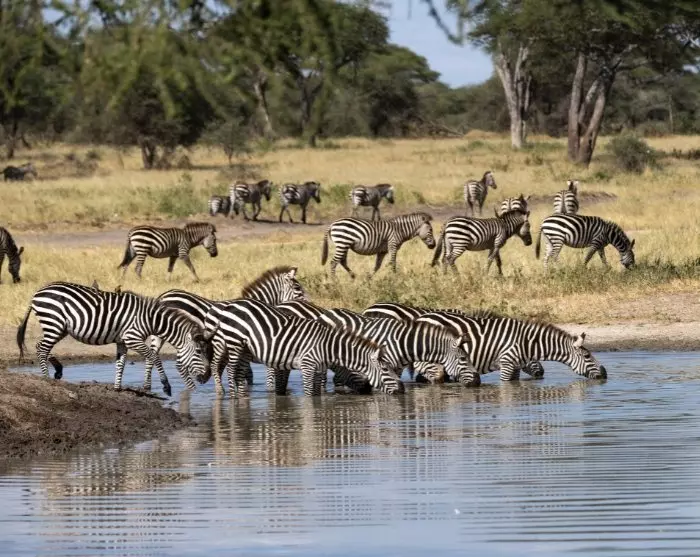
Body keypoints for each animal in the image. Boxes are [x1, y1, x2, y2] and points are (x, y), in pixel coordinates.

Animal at [16, 281, 211, 395]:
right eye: (199, 351)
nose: (205, 378)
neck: (150, 319)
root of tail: (37, 292)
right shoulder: (133, 337)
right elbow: (154, 356)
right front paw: (166, 386)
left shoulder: (122, 341)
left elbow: (121, 363)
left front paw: (117, 388)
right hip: (54, 323)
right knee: (41, 348)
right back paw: (47, 377)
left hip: (60, 327)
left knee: (41, 346)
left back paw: (57, 369)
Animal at [155, 266, 306, 395]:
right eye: (298, 288)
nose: (307, 304)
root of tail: (164, 296)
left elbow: (246, 374)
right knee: (180, 365)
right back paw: (193, 389)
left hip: (161, 334)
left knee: (153, 358)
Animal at [201, 298, 405, 396]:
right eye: (385, 369)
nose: (402, 390)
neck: (328, 346)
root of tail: (229, 305)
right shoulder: (307, 365)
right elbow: (307, 395)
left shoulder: (317, 368)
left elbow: (315, 393)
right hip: (232, 342)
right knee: (227, 370)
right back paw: (229, 395)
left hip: (244, 348)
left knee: (237, 373)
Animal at [318, 308, 479, 387]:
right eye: (463, 359)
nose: (477, 382)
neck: (403, 343)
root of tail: (327, 312)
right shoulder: (381, 365)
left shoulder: (396, 368)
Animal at [413, 309, 606, 381]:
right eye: (587, 356)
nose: (605, 374)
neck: (526, 343)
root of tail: (421, 318)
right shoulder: (506, 363)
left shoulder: (514, 367)